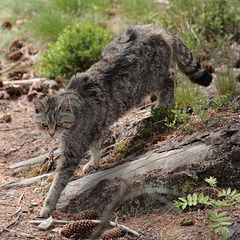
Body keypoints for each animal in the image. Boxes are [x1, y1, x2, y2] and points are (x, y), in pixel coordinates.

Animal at [33, 24, 212, 218]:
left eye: (59, 124)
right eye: (44, 125)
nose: (51, 134)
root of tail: (154, 27)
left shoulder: (72, 151)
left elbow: (58, 182)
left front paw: (47, 206)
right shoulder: (93, 131)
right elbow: (96, 148)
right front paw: (93, 163)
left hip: (150, 81)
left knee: (170, 78)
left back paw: (163, 105)